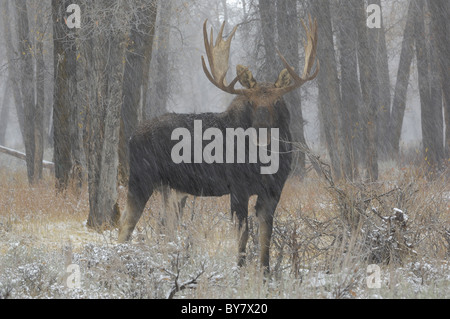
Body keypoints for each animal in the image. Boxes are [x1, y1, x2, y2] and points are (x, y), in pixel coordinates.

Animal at [118, 16, 318, 274]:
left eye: (276, 101)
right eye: (251, 101)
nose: (262, 133)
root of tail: (132, 136)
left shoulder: (274, 191)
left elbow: (266, 239)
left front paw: (265, 275)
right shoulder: (238, 187)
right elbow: (243, 236)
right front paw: (240, 271)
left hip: (171, 190)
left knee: (164, 228)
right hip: (140, 178)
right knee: (125, 224)